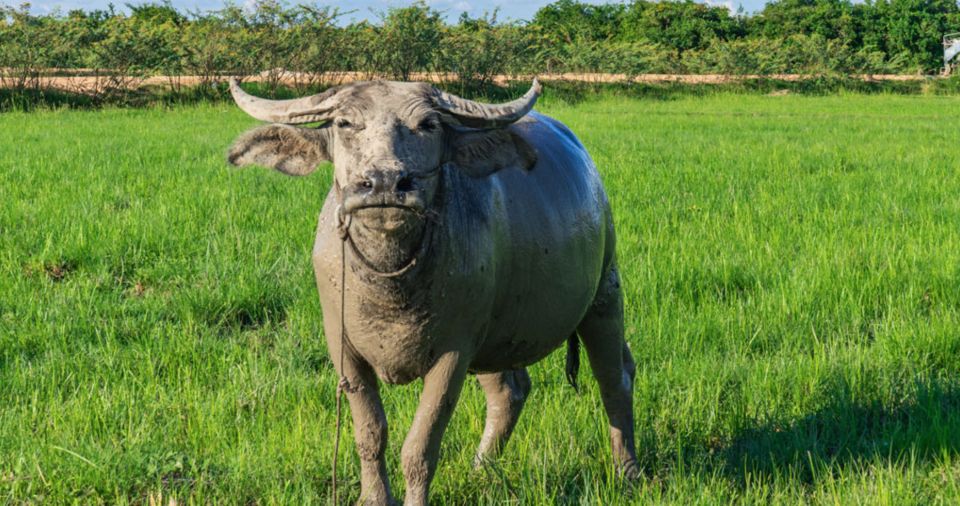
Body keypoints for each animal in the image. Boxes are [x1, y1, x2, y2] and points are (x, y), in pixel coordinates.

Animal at [227, 77, 636, 504]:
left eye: (427, 125)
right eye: (344, 123)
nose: (385, 183)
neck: (390, 288)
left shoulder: (453, 352)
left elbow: (420, 447)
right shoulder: (343, 348)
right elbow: (370, 434)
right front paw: (374, 497)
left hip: (605, 292)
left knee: (615, 379)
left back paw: (627, 472)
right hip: (495, 335)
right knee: (510, 391)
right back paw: (481, 469)